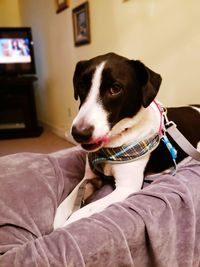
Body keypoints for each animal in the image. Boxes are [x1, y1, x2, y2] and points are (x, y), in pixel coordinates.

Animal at [53, 52, 200, 230]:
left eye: (115, 89)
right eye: (82, 85)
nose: (78, 133)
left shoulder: (126, 188)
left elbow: (80, 213)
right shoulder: (88, 178)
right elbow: (63, 206)